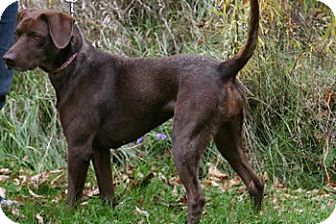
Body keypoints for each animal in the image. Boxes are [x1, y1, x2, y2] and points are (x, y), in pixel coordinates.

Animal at [3, 0, 264, 223]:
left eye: (36, 36)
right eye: (16, 34)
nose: (7, 58)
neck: (75, 65)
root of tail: (223, 69)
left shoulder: (78, 148)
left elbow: (73, 194)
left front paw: (67, 216)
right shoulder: (99, 149)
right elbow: (107, 192)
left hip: (184, 142)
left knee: (197, 197)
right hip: (227, 139)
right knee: (255, 182)